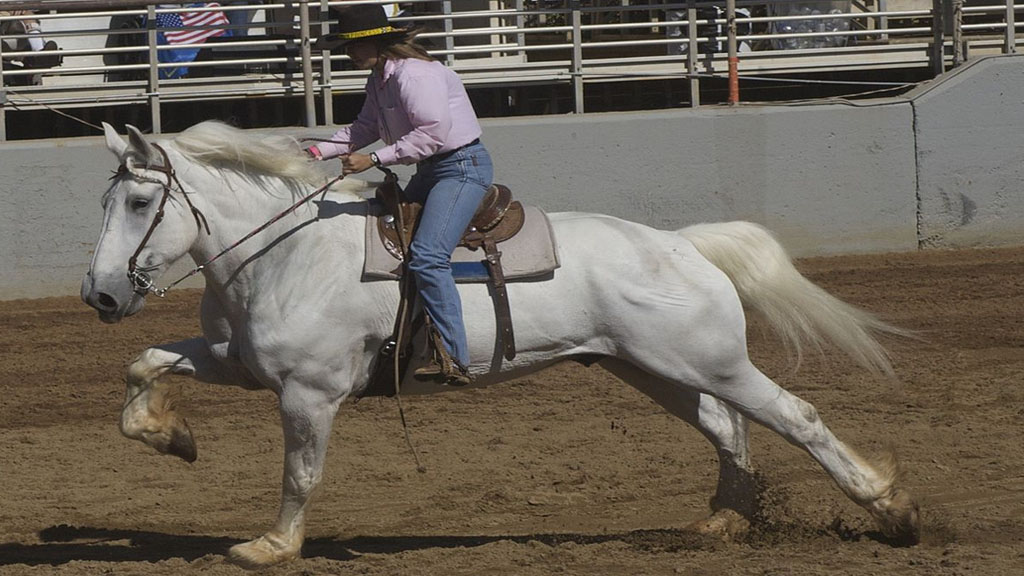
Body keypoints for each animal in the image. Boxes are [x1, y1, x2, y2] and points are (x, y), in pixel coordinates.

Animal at [83, 119, 921, 565]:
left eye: (139, 203)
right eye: (106, 200)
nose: (100, 295)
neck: (288, 252)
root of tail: (682, 243)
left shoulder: (309, 393)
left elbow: (301, 473)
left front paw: (272, 546)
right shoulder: (244, 364)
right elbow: (143, 364)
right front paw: (171, 437)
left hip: (708, 362)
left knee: (796, 417)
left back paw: (893, 509)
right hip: (655, 367)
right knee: (726, 427)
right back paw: (724, 520)